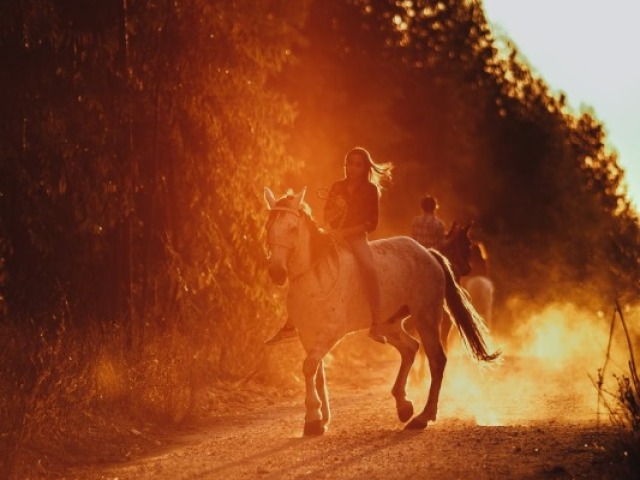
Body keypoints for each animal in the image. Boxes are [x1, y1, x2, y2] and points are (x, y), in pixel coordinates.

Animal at [262, 188, 498, 436]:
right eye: (268, 227)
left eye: (292, 228)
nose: (276, 272)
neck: (315, 276)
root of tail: (428, 253)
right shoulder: (307, 335)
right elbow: (316, 373)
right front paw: (319, 419)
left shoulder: (330, 332)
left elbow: (309, 367)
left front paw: (312, 419)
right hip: (391, 324)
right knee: (411, 348)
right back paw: (404, 406)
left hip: (426, 317)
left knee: (436, 360)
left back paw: (423, 417)